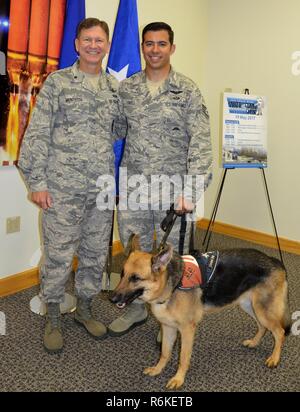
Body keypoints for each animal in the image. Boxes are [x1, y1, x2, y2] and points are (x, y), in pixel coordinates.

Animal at [109, 235, 290, 390]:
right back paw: (254, 342)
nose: (111, 298)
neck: (171, 285)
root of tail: (274, 261)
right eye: (123, 274)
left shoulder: (187, 330)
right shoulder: (168, 328)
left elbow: (183, 358)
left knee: (280, 332)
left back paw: (274, 358)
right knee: (263, 327)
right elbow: (165, 353)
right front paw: (157, 369)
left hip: (262, 310)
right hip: (250, 306)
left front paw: (178, 379)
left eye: (135, 278)